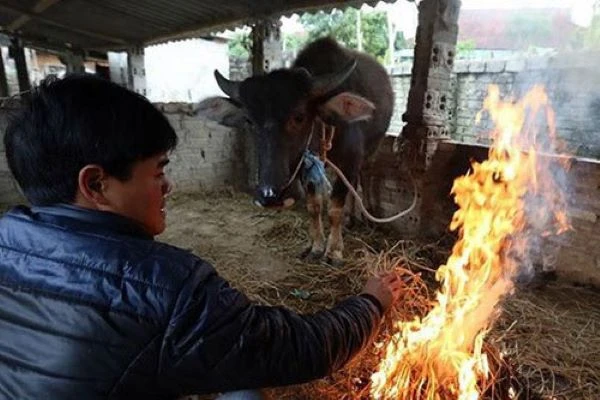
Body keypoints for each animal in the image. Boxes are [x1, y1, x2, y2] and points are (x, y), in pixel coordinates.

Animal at [206, 36, 394, 264]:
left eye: (299, 116)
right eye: (249, 120)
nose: (270, 196)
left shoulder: (350, 160)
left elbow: (335, 207)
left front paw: (333, 251)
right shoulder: (307, 165)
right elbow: (314, 206)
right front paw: (316, 247)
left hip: (371, 150)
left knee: (364, 178)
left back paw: (365, 217)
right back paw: (351, 220)